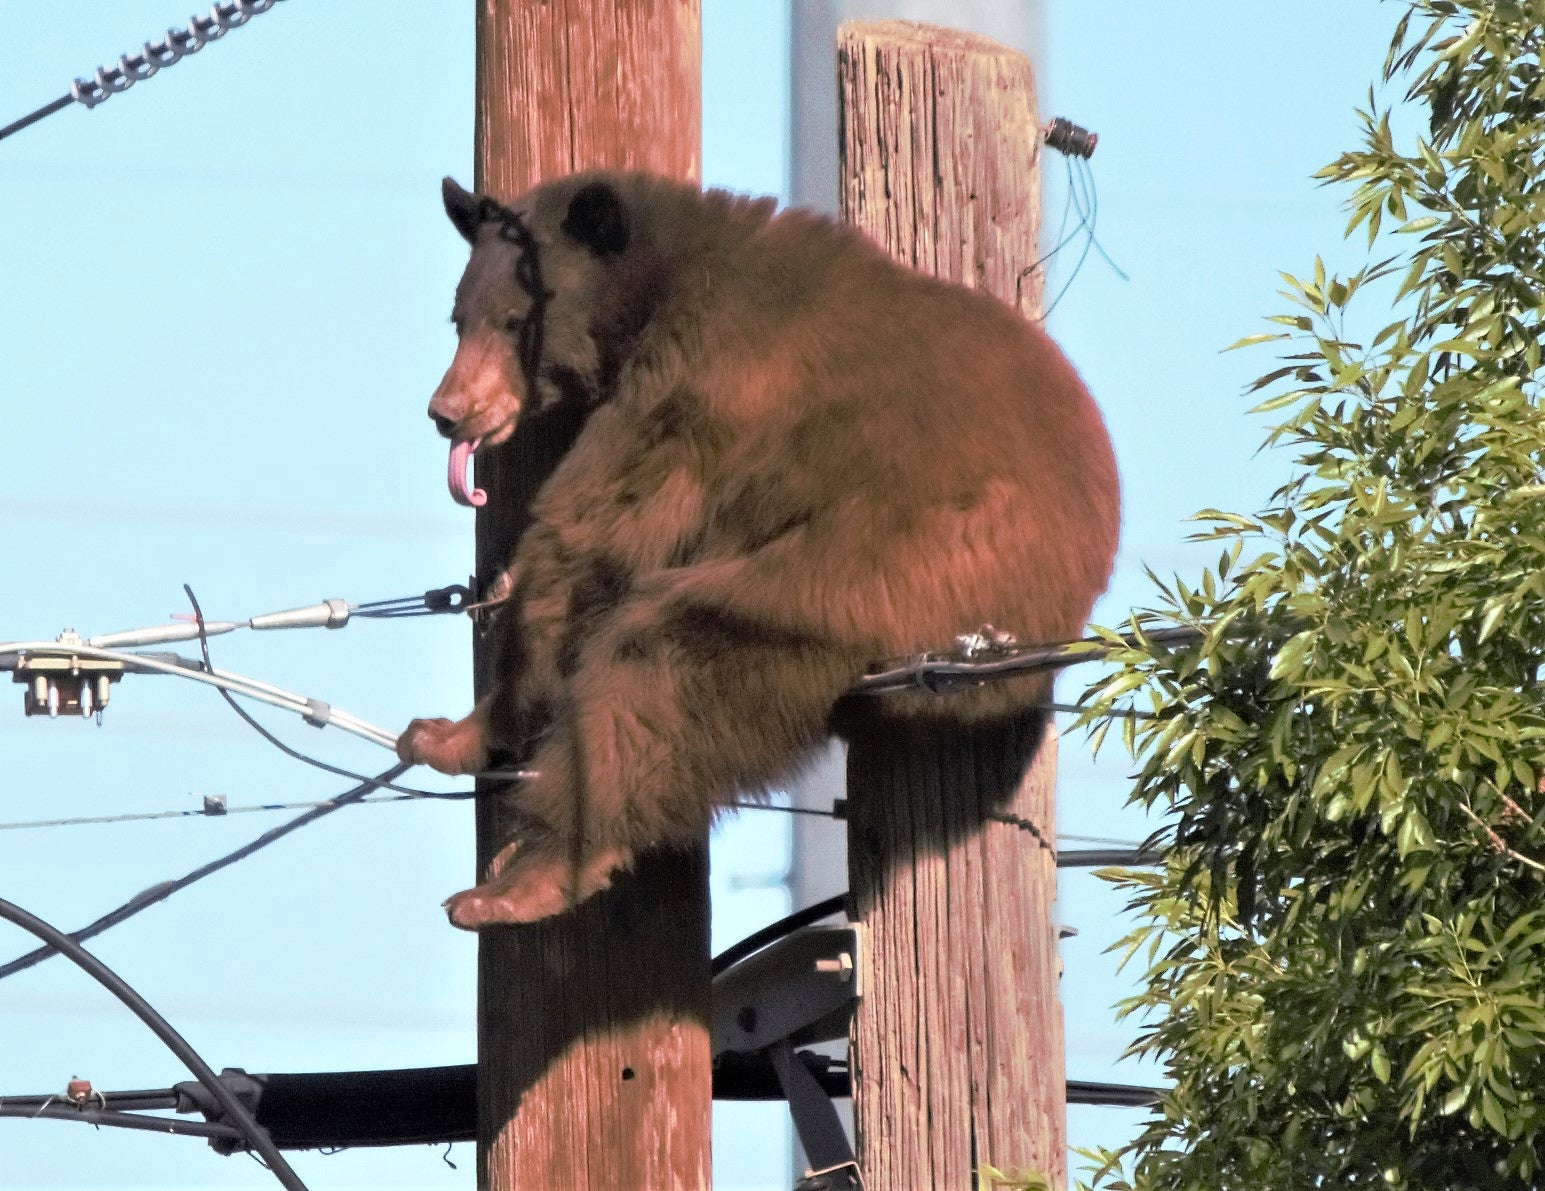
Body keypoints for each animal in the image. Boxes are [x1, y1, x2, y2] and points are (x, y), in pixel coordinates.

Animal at [398, 169, 1124, 933]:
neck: (657, 284)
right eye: (458, 318)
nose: (447, 410)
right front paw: (440, 731)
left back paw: (523, 881)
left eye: (513, 320)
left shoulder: (697, 385)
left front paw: (457, 731)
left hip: (888, 567)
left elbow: (594, 533)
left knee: (664, 665)